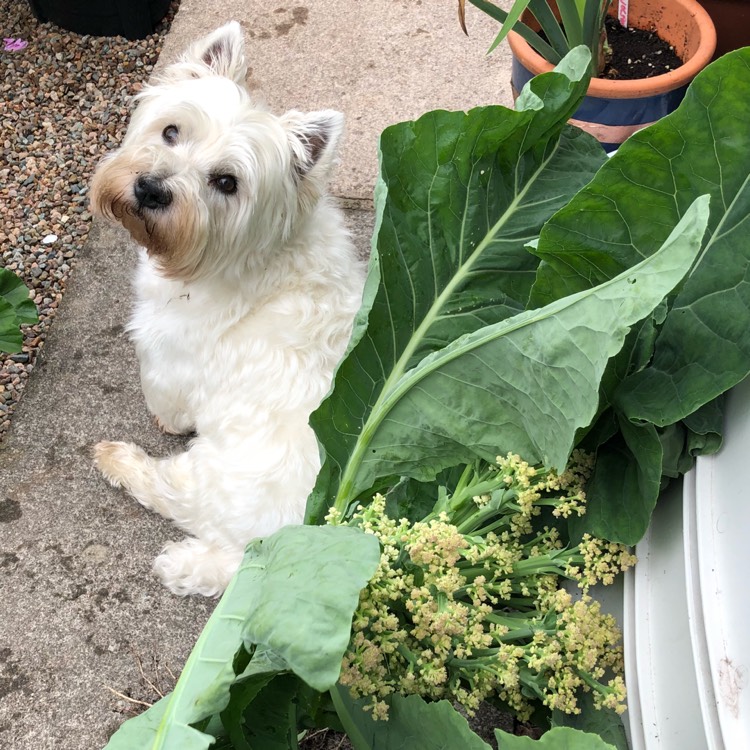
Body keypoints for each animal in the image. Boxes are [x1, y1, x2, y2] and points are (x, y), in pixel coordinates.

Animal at [89, 22, 366, 600]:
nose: (150, 188)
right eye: (171, 131)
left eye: (226, 182)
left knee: (170, 493)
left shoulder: (167, 358)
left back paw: (120, 463)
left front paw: (161, 422)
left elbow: (168, 403)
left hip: (208, 476)